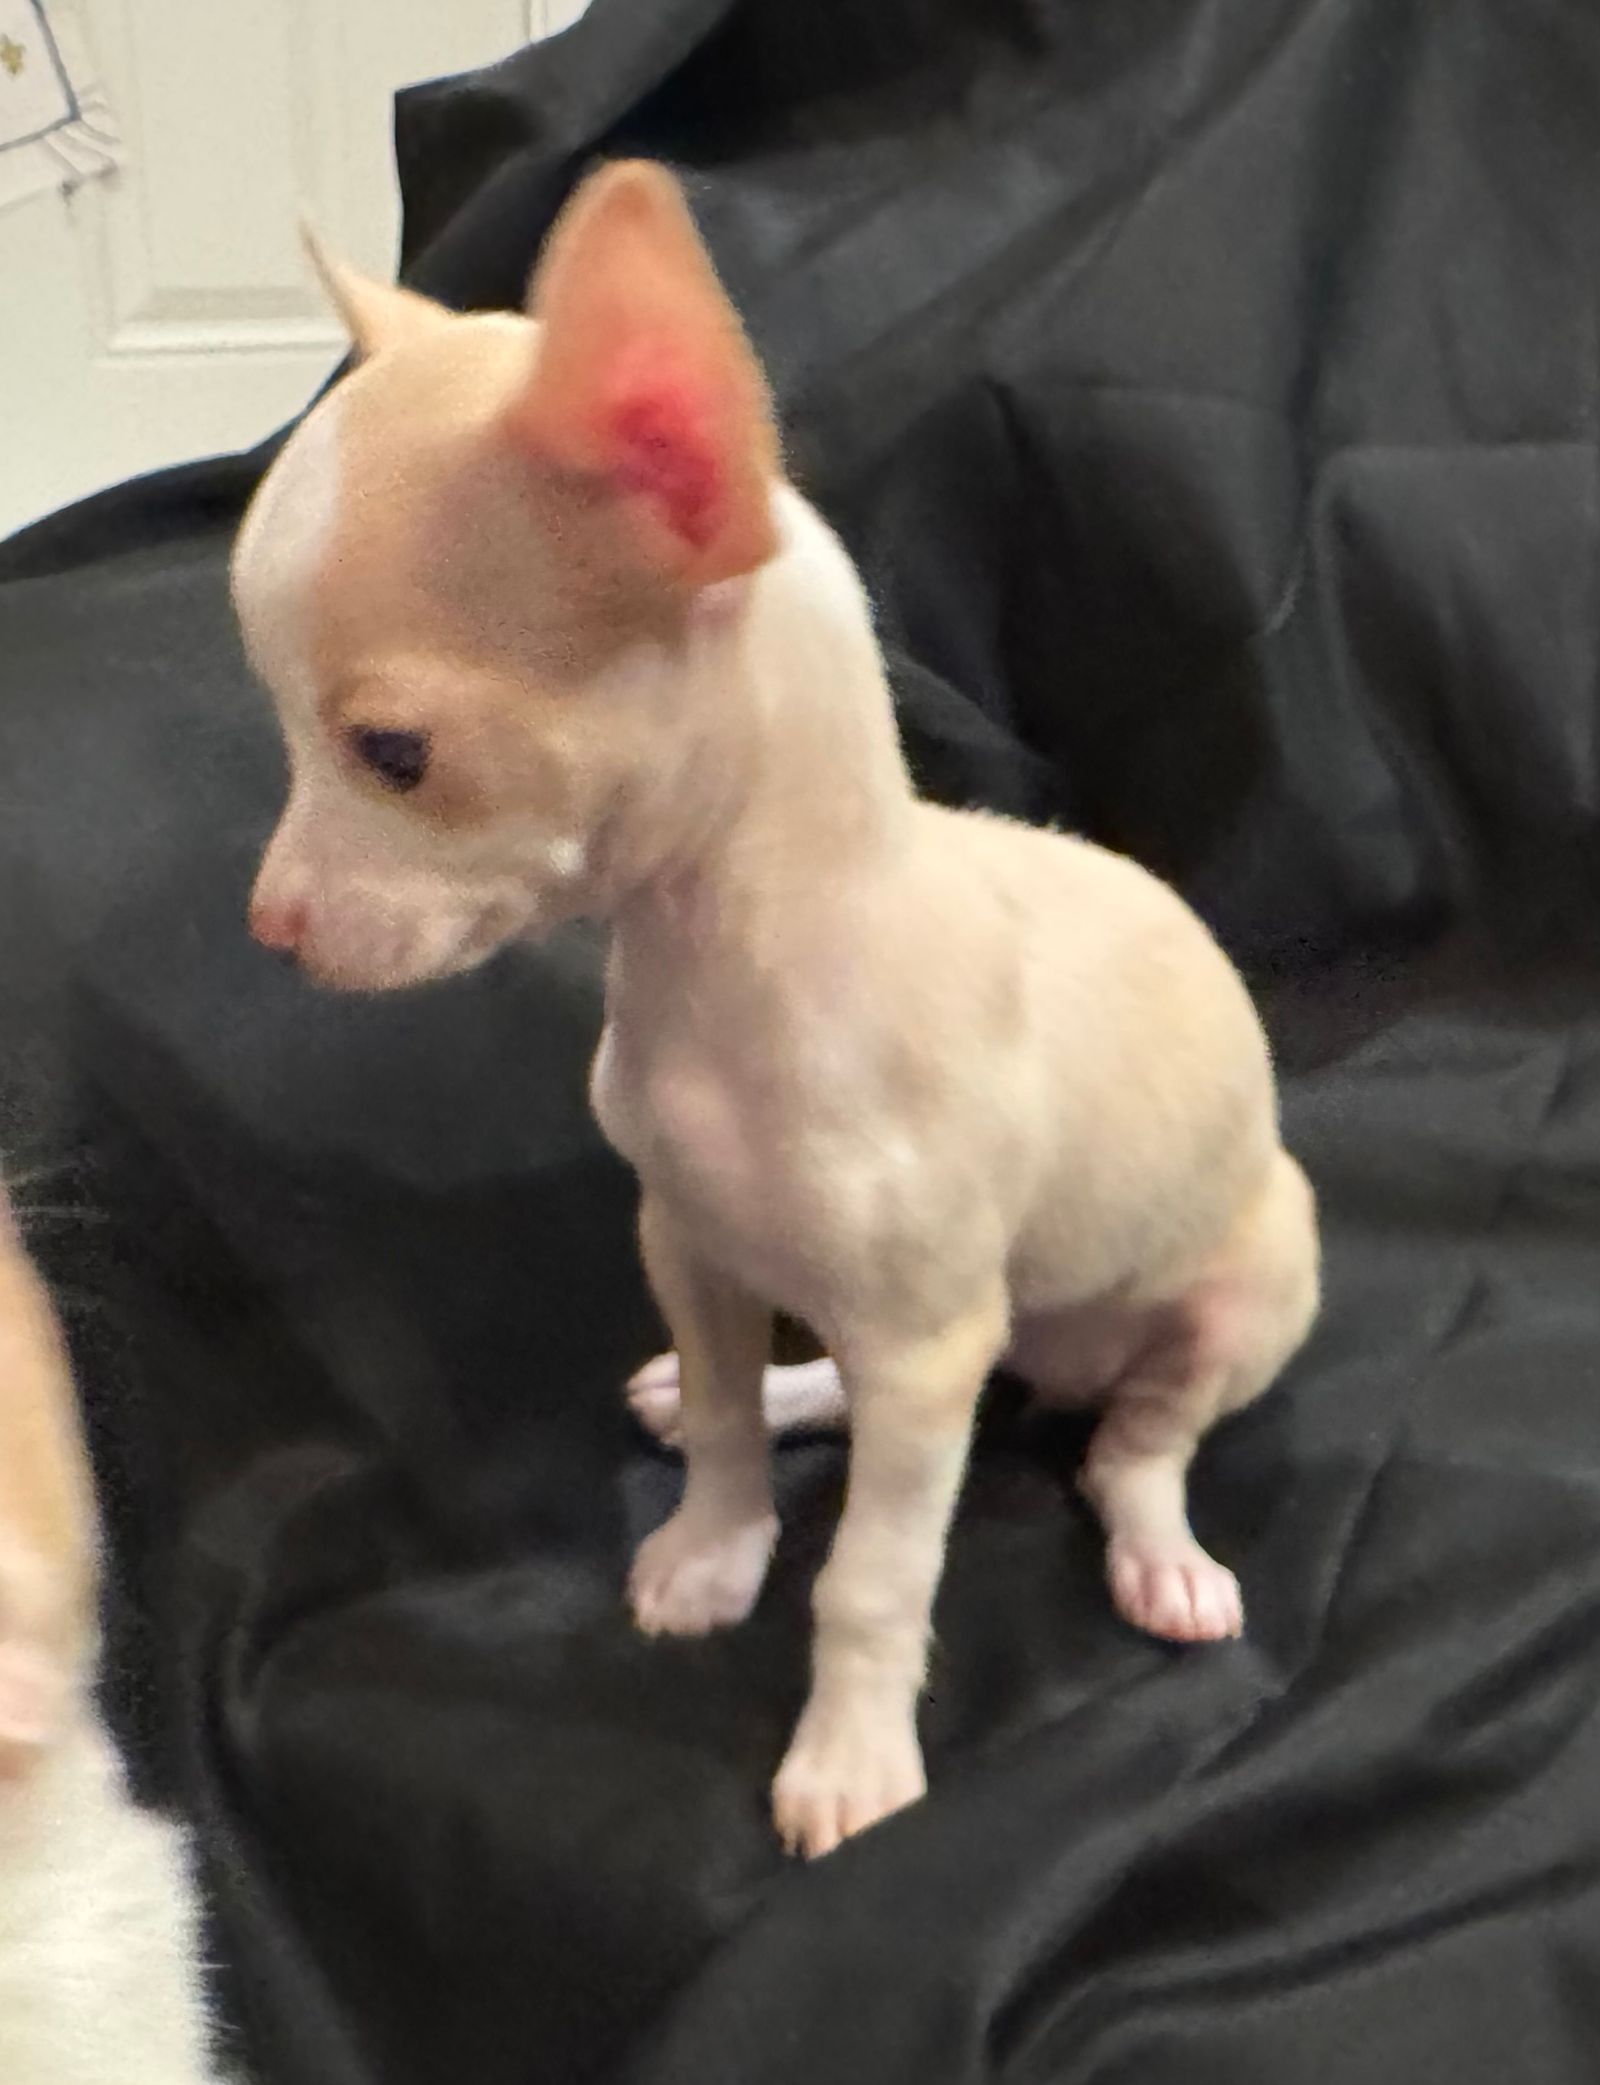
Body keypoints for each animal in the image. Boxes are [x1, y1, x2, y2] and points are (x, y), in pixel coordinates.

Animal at [232, 161, 1320, 1860]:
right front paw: (712, 1543)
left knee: (1139, 1445)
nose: (269, 925)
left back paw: (1160, 1548)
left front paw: (852, 1755)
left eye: (395, 755)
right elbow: (738, 1416)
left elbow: (874, 1577)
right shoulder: (685, 1236)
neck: (720, 975)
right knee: (850, 1388)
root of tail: (1059, 1366)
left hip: (1244, 1288)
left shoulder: (932, 1348)